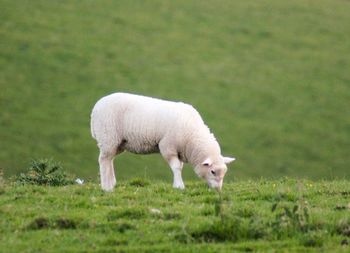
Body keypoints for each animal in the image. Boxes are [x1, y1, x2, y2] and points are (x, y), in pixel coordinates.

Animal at [90, 93, 235, 192]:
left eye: (224, 172)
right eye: (212, 172)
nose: (218, 190)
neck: (192, 137)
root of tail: (96, 107)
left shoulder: (179, 150)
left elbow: (179, 167)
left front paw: (177, 184)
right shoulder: (168, 146)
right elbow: (176, 167)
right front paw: (179, 186)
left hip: (117, 142)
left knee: (109, 160)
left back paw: (112, 183)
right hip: (108, 136)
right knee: (103, 160)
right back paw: (106, 187)